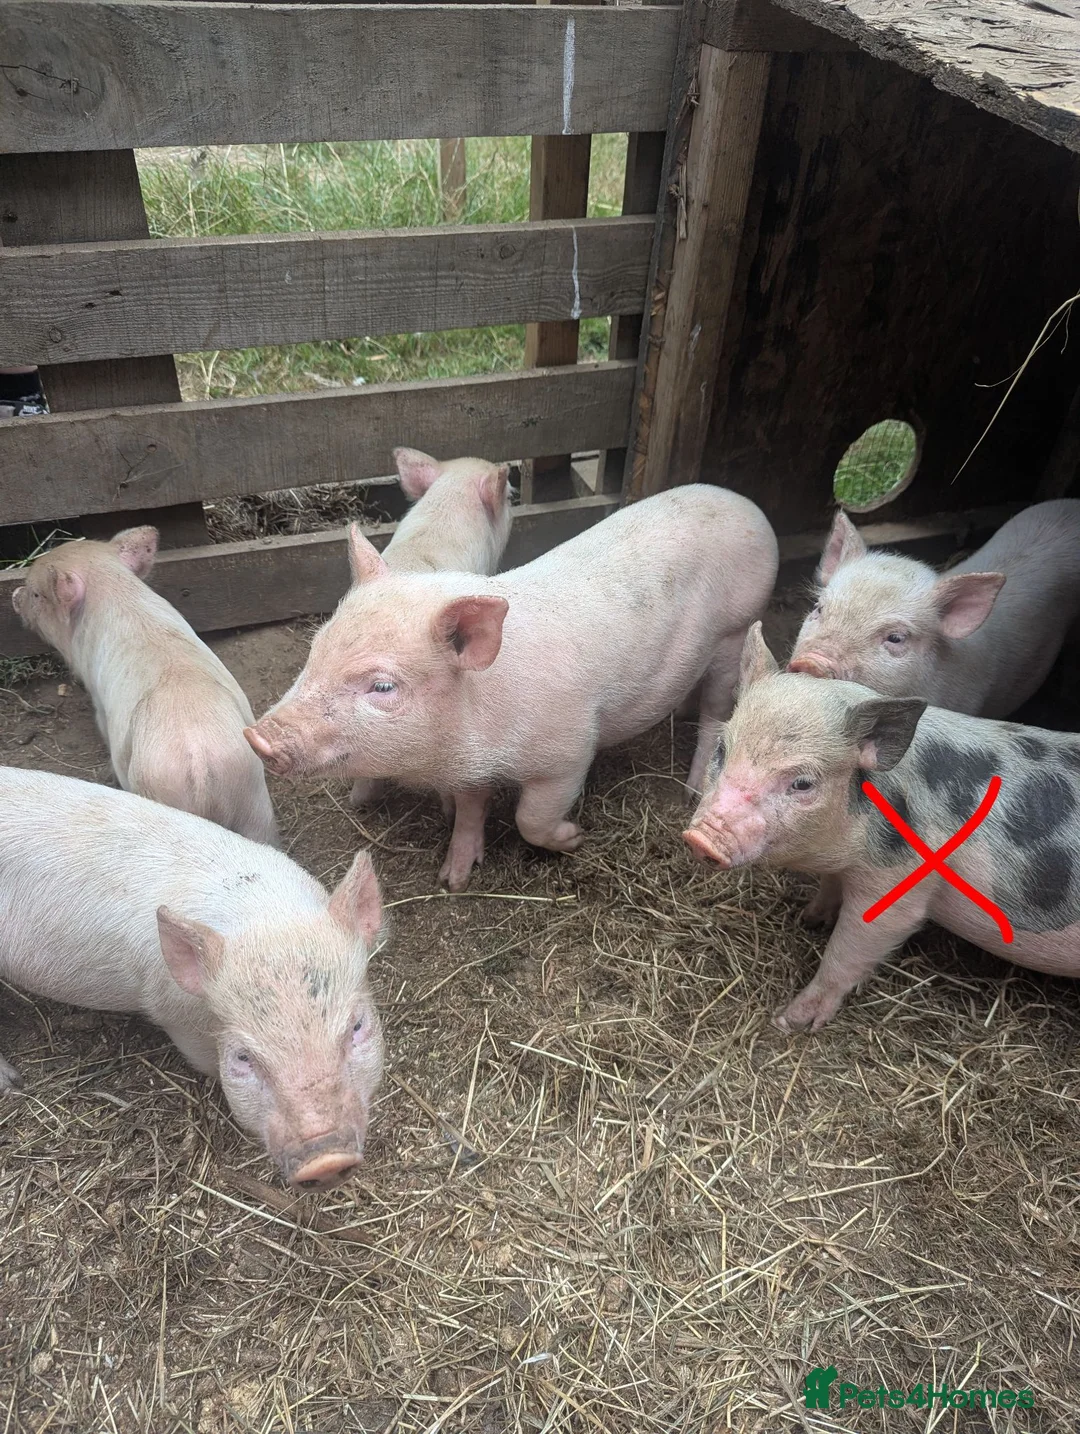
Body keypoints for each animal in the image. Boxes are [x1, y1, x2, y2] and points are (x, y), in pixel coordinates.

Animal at [0, 767, 385, 1190]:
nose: (326, 1160)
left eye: (357, 1026)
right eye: (243, 1057)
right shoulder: (173, 1016)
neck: (264, 919)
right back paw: (13, 1082)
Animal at [246, 485, 779, 891]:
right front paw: (454, 879)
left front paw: (574, 837)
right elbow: (469, 811)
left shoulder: (569, 753)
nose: (258, 737)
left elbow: (531, 819)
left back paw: (691, 791)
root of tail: (748, 505)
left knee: (718, 712)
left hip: (736, 632)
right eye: (316, 648)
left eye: (382, 686)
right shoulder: (468, 769)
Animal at [684, 623, 1080, 1033]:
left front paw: (788, 1021)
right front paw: (809, 918)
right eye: (721, 750)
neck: (844, 849)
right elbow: (829, 890)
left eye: (803, 783)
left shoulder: (898, 883)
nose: (701, 838)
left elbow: (849, 951)